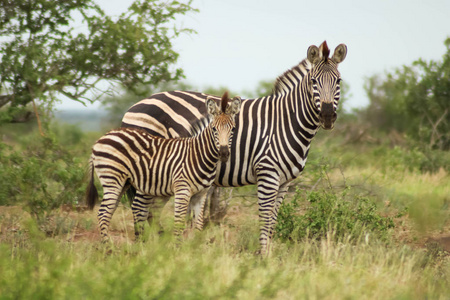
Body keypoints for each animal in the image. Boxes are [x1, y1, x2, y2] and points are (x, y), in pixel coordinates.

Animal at [86, 92, 241, 241]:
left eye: (233, 129)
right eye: (214, 129)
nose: (224, 153)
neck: (197, 155)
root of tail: (100, 139)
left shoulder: (200, 194)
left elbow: (198, 225)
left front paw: (195, 247)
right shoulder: (182, 190)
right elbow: (179, 224)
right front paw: (177, 248)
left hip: (124, 182)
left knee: (111, 211)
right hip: (113, 179)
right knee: (104, 213)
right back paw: (108, 246)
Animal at [121, 41, 346, 254]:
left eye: (339, 81)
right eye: (313, 81)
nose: (327, 116)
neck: (286, 122)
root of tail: (133, 107)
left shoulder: (285, 182)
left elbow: (273, 221)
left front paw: (269, 255)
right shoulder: (267, 174)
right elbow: (265, 219)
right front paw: (263, 257)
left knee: (152, 211)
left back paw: (156, 246)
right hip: (150, 171)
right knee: (140, 207)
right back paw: (143, 247)